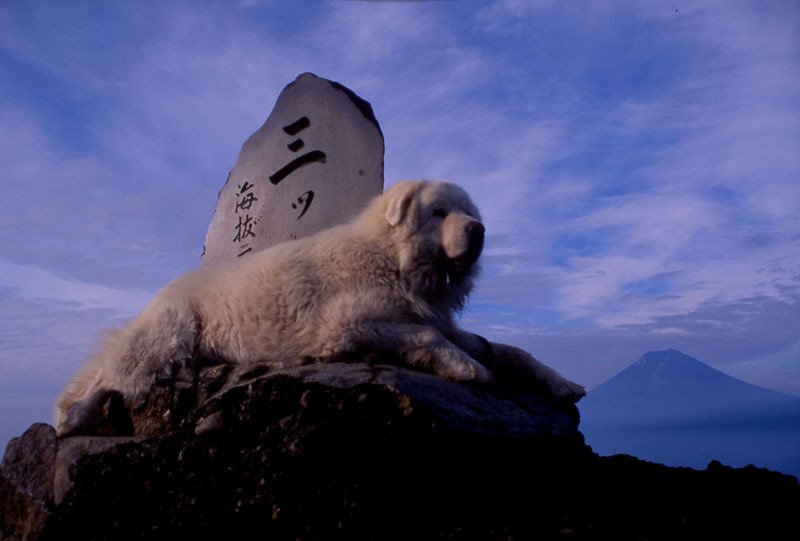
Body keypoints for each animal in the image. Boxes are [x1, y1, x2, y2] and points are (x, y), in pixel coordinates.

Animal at [54, 179, 580, 436]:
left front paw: (558, 381)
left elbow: (506, 349)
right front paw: (466, 369)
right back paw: (72, 419)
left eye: (470, 212)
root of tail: (157, 297)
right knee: (109, 380)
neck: (390, 256)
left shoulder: (430, 316)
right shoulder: (343, 327)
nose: (480, 230)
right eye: (439, 212)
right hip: (170, 334)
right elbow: (430, 338)